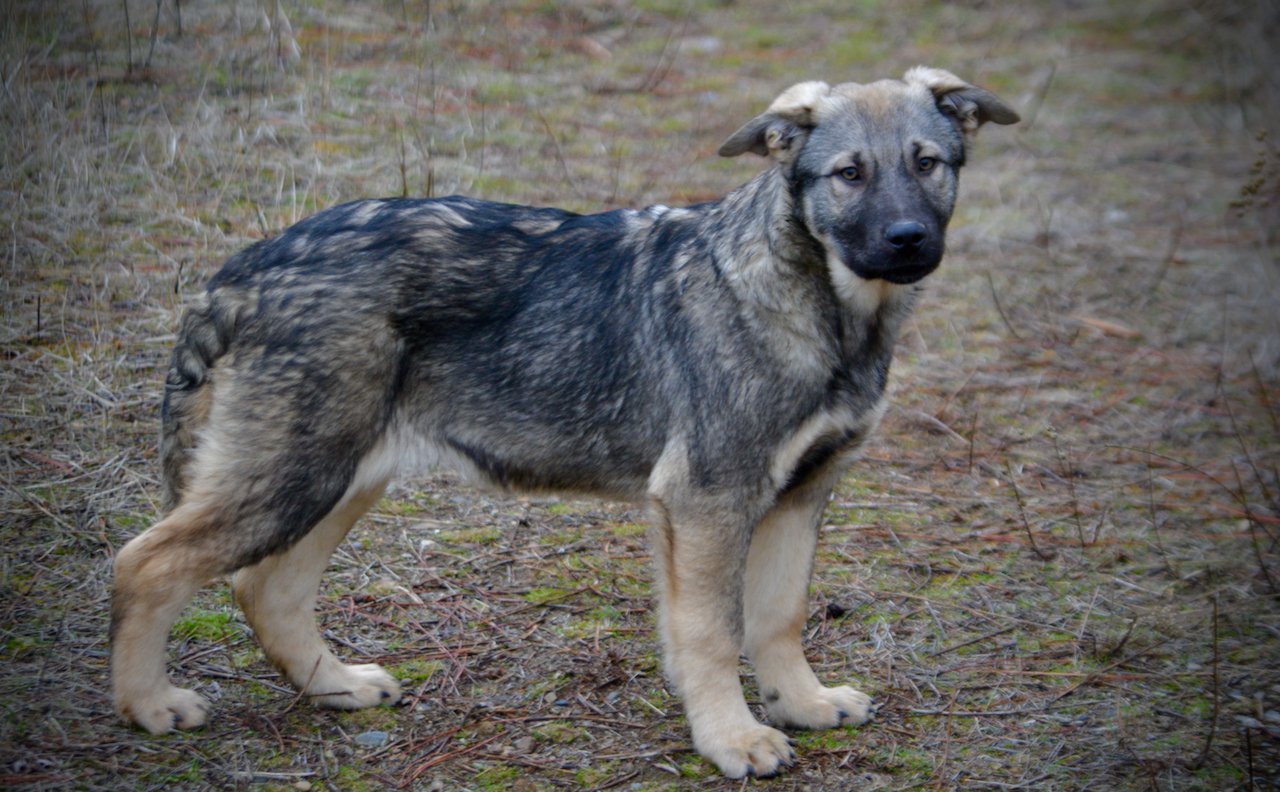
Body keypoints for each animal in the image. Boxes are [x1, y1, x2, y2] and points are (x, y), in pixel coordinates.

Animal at [115, 69, 1018, 783]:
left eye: (927, 164)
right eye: (848, 175)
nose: (908, 240)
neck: (820, 304)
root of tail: (248, 268)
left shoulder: (799, 495)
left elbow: (777, 616)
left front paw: (799, 703)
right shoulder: (708, 499)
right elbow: (713, 631)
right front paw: (731, 738)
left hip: (341, 475)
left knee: (266, 588)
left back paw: (336, 686)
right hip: (293, 473)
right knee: (145, 564)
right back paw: (149, 705)